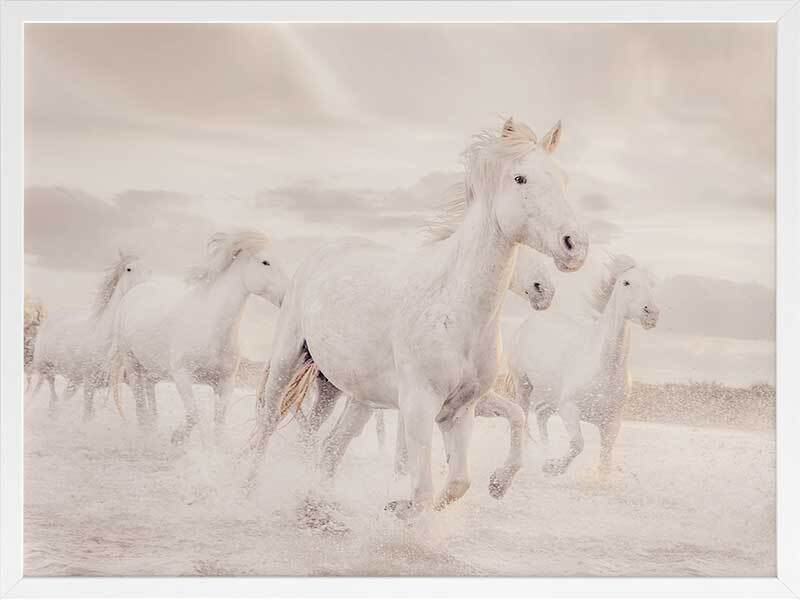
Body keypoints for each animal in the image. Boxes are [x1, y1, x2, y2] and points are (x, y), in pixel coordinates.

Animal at [31, 252, 149, 417]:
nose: (144, 289)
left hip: (74, 379)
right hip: (46, 369)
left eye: (149, 270)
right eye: (129, 269)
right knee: (54, 394)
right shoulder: (89, 383)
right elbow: (87, 415)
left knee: (61, 398)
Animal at [109, 231, 289, 443]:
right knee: (140, 406)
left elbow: (218, 424)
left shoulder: (225, 383)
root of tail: (135, 291)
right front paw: (178, 438)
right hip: (132, 364)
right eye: (265, 262)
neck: (211, 329)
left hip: (151, 370)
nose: (288, 296)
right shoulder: (182, 375)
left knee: (150, 402)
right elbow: (194, 415)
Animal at [247, 117, 589, 518]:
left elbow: (458, 482)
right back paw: (247, 493)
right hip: (287, 359)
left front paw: (486, 487)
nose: (575, 247)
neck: (453, 307)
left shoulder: (460, 409)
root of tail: (324, 251)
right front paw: (405, 510)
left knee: (328, 448)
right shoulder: (418, 406)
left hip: (353, 394)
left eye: (563, 179)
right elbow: (424, 487)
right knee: (268, 423)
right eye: (520, 178)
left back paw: (316, 504)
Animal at [507, 254, 659, 477]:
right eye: (626, 282)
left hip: (552, 395)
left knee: (542, 414)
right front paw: (552, 467)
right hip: (524, 385)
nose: (651, 314)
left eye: (652, 284)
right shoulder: (569, 408)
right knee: (525, 417)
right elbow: (578, 444)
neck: (603, 368)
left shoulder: (612, 423)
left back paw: (545, 451)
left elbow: (605, 459)